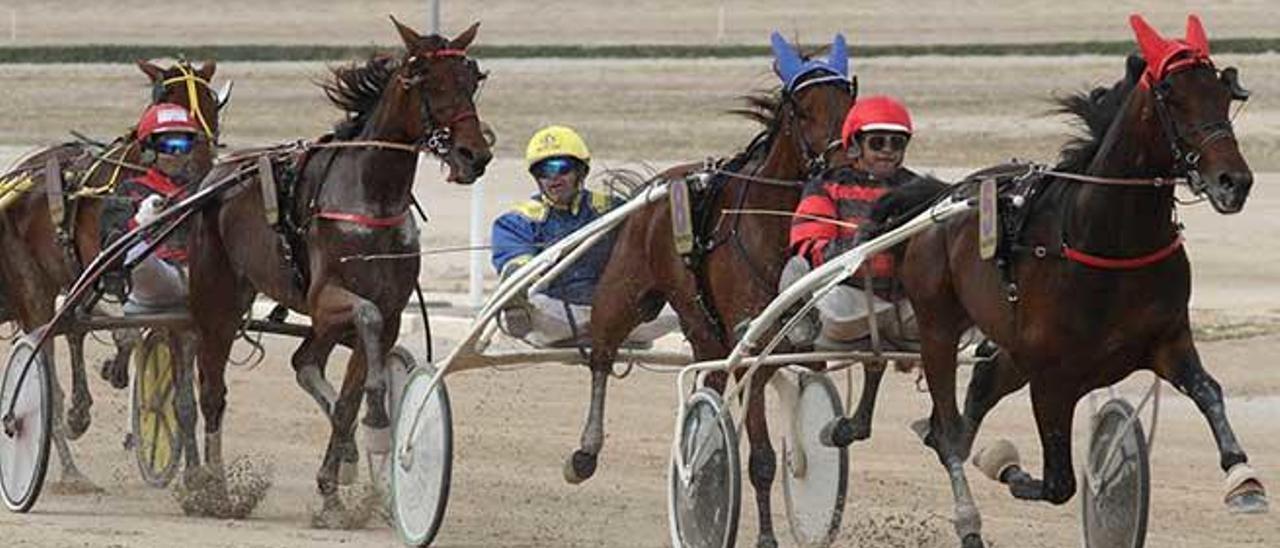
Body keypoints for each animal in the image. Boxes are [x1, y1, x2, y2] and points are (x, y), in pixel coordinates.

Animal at [0, 58, 220, 489]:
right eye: (166, 96)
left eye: (212, 102)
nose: (196, 163)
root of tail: (23, 169)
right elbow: (125, 332)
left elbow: (184, 395)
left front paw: (194, 472)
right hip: (32, 287)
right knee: (47, 359)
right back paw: (69, 464)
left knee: (72, 329)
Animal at [185, 16, 488, 514]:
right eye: (422, 77)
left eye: (473, 78)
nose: (474, 154)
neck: (371, 194)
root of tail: (216, 175)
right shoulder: (327, 296)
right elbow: (364, 322)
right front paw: (378, 419)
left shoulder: (387, 310)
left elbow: (351, 391)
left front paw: (336, 483)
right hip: (218, 300)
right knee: (213, 392)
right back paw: (216, 489)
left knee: (304, 361)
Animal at [576, 36, 855, 545]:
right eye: (802, 110)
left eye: (847, 104)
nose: (843, 165)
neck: (770, 224)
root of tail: (655, 186)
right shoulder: (750, 348)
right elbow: (761, 458)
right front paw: (764, 535)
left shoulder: (791, 343)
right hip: (626, 292)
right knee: (602, 354)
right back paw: (585, 452)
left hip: (703, 328)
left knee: (709, 384)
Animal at [885, 14, 1264, 545]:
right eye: (1170, 94)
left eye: (1224, 92)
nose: (1235, 182)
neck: (1109, 240)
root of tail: (946, 197)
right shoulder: (1052, 379)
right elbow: (1059, 483)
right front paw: (1007, 467)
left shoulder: (1168, 341)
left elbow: (1210, 392)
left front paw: (1244, 480)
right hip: (937, 325)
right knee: (950, 431)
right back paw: (968, 513)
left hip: (1012, 350)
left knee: (976, 392)